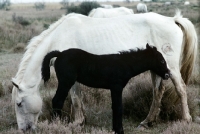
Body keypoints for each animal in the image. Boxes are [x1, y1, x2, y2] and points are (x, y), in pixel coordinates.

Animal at [41, 43, 170, 133]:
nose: (168, 74)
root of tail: (60, 54)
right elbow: (118, 107)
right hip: (65, 82)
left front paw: (115, 129)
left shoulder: (113, 89)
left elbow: (114, 107)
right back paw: (57, 124)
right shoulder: (117, 87)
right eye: (161, 60)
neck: (124, 64)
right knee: (57, 100)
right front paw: (120, 130)